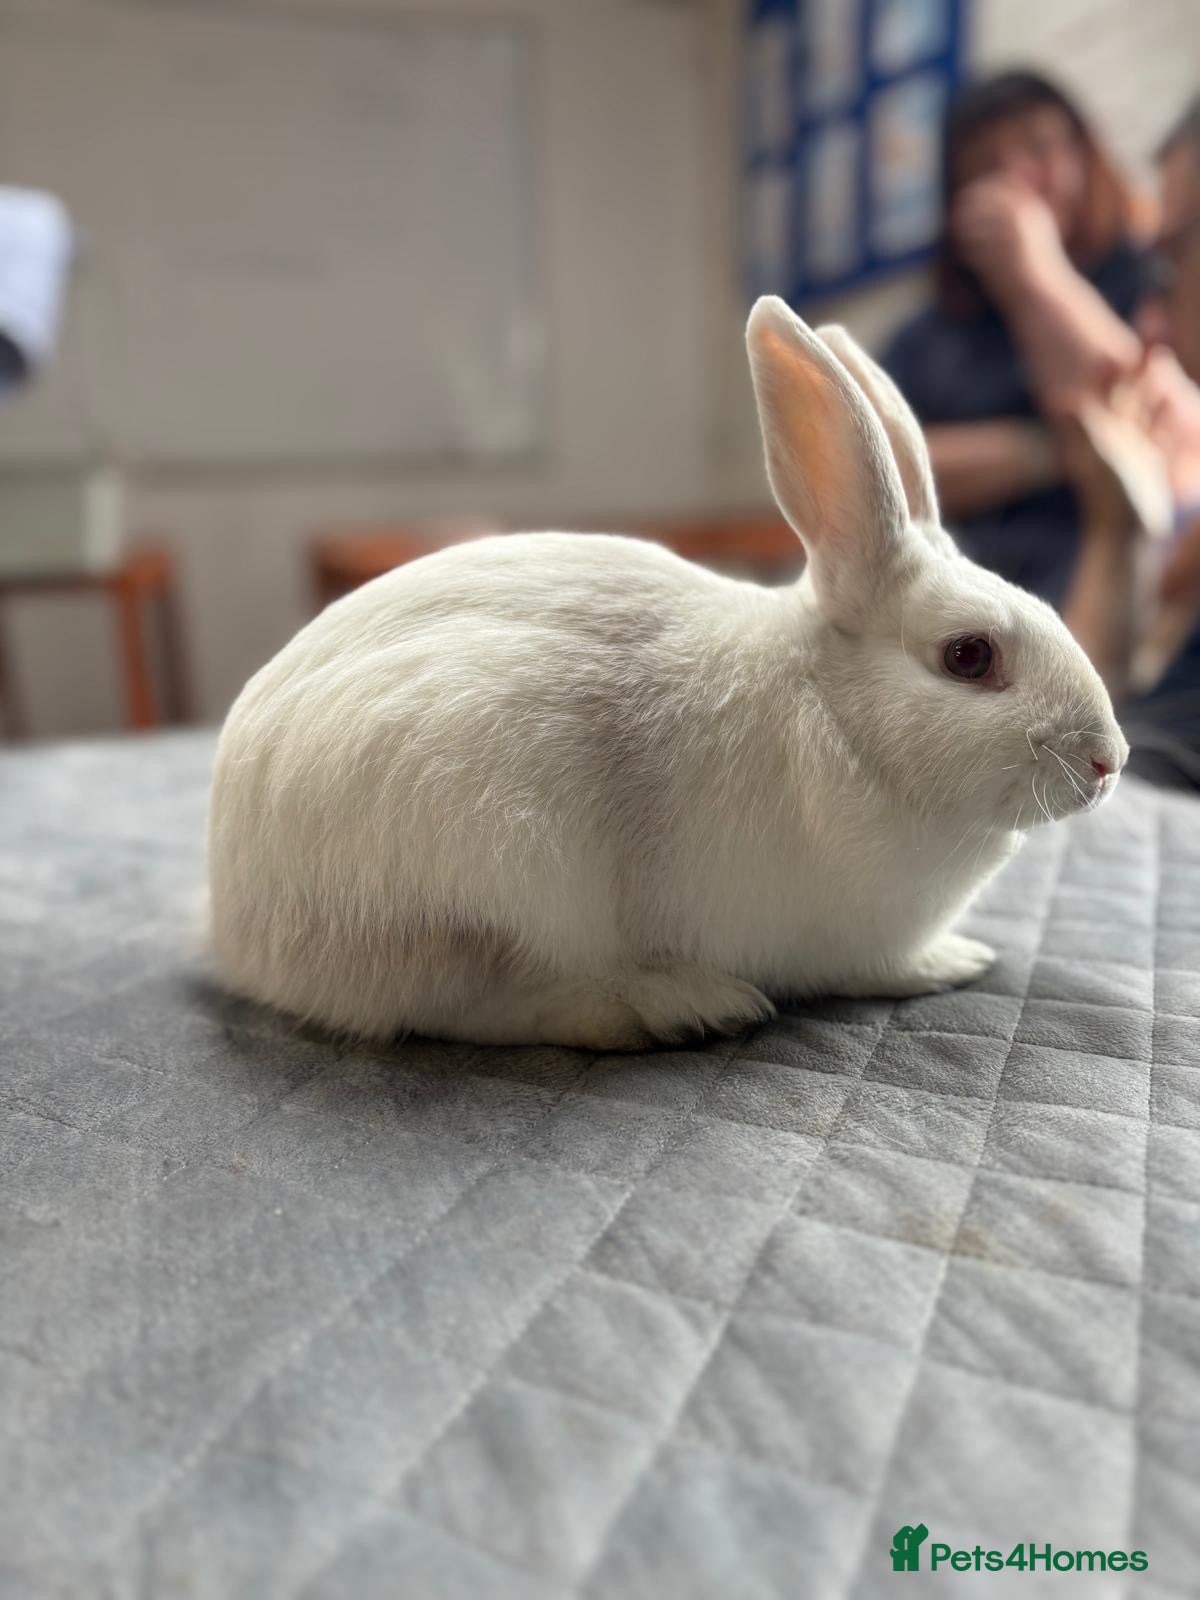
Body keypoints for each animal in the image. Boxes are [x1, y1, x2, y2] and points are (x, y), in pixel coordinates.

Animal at [208, 297, 1128, 1050]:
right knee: (473, 1003)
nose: (1108, 761)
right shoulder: (854, 939)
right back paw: (677, 1006)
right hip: (499, 861)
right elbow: (883, 970)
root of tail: (240, 930)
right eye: (969, 657)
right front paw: (958, 960)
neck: (841, 718)